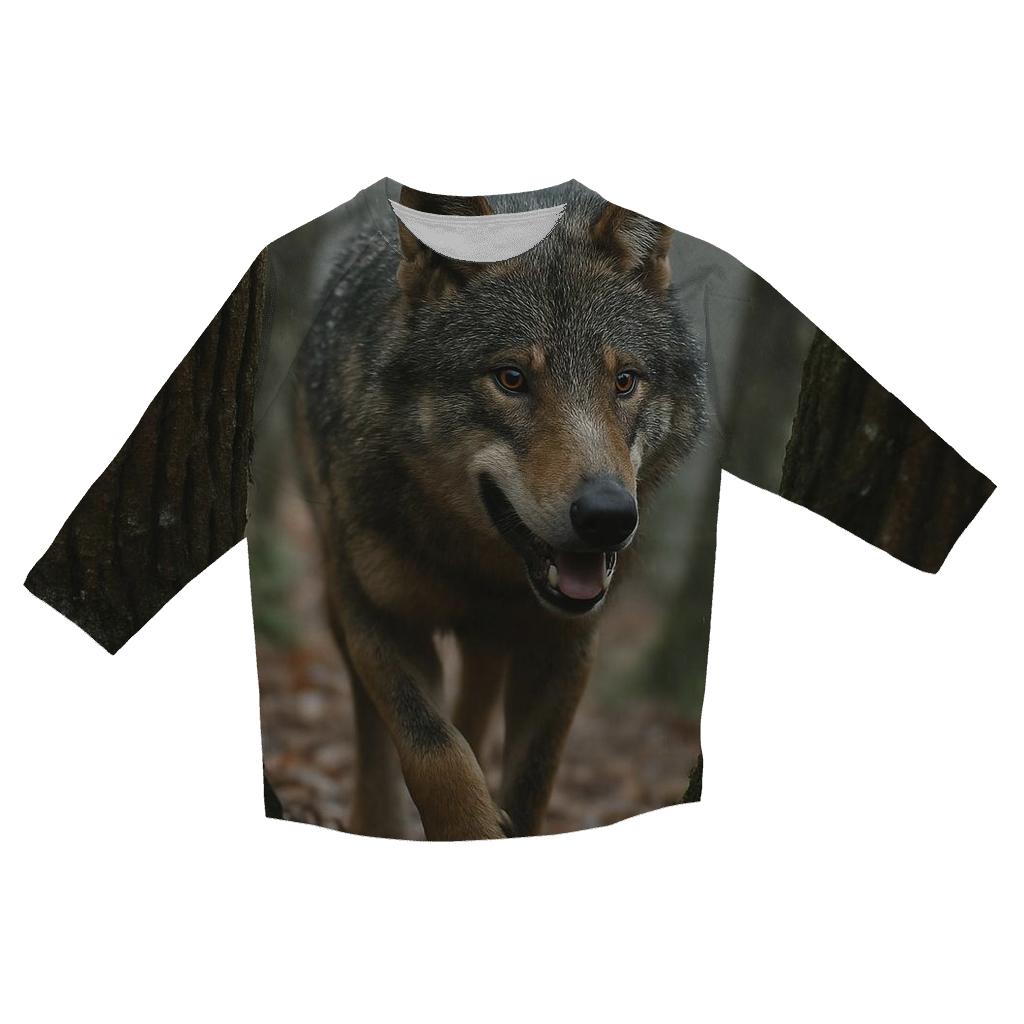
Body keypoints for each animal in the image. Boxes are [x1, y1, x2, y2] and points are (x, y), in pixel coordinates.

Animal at [292, 182, 706, 840]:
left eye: (624, 381)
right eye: (511, 378)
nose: (608, 516)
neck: (480, 564)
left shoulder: (564, 643)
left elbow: (533, 779)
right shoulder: (380, 617)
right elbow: (434, 751)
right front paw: (469, 825)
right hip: (340, 591)